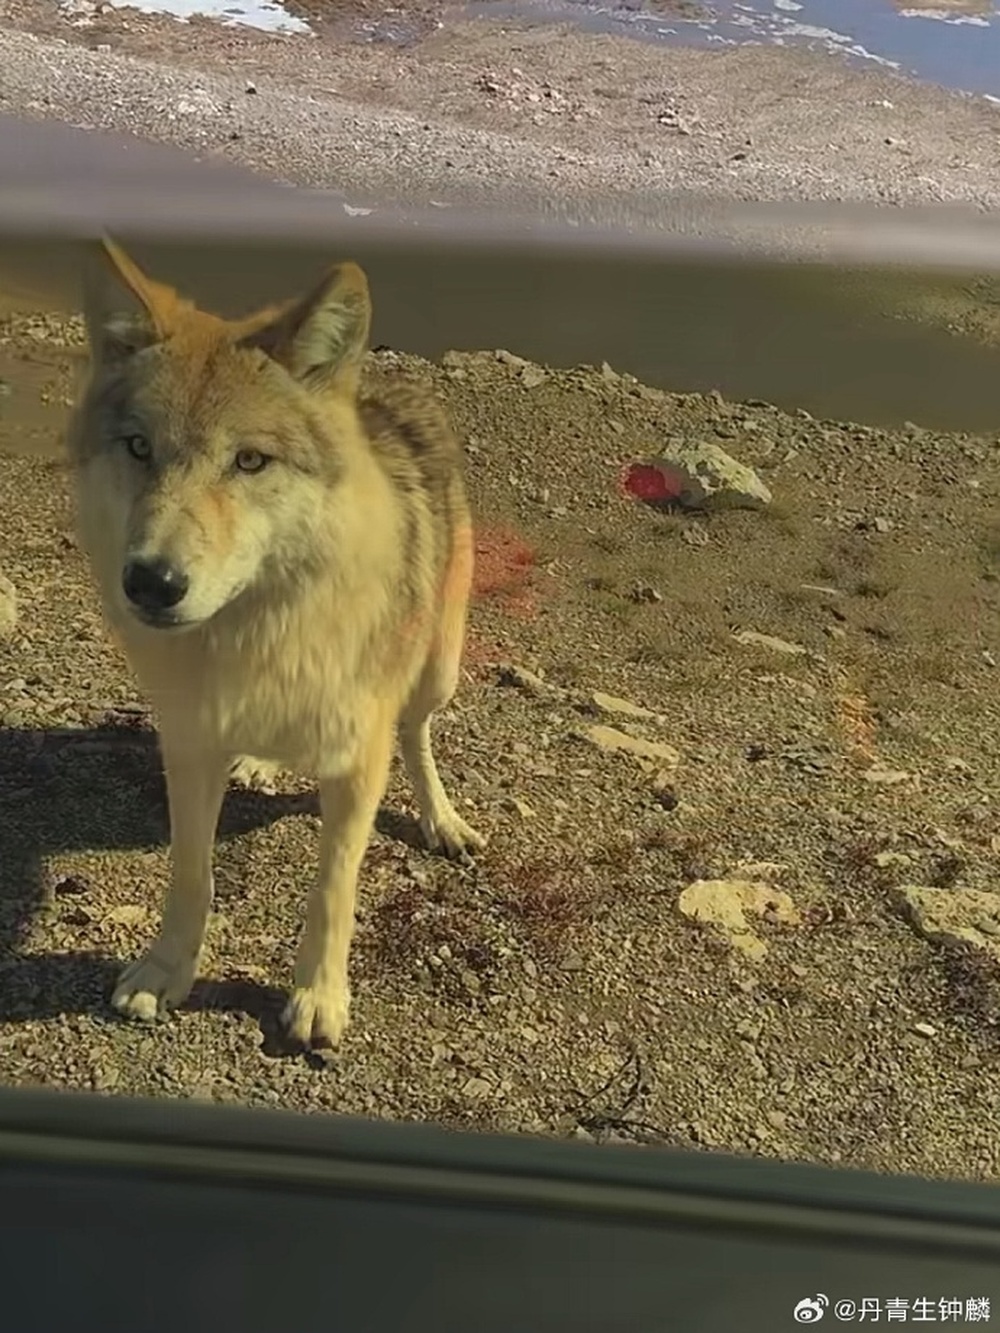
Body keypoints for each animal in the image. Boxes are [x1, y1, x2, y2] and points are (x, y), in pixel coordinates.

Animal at [64, 242, 488, 1050]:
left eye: (250, 462)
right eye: (139, 448)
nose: (152, 583)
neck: (256, 638)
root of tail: (390, 392)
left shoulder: (356, 765)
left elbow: (332, 888)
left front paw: (318, 998)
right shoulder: (189, 746)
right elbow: (190, 875)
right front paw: (165, 972)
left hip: (437, 673)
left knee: (417, 735)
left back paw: (442, 820)